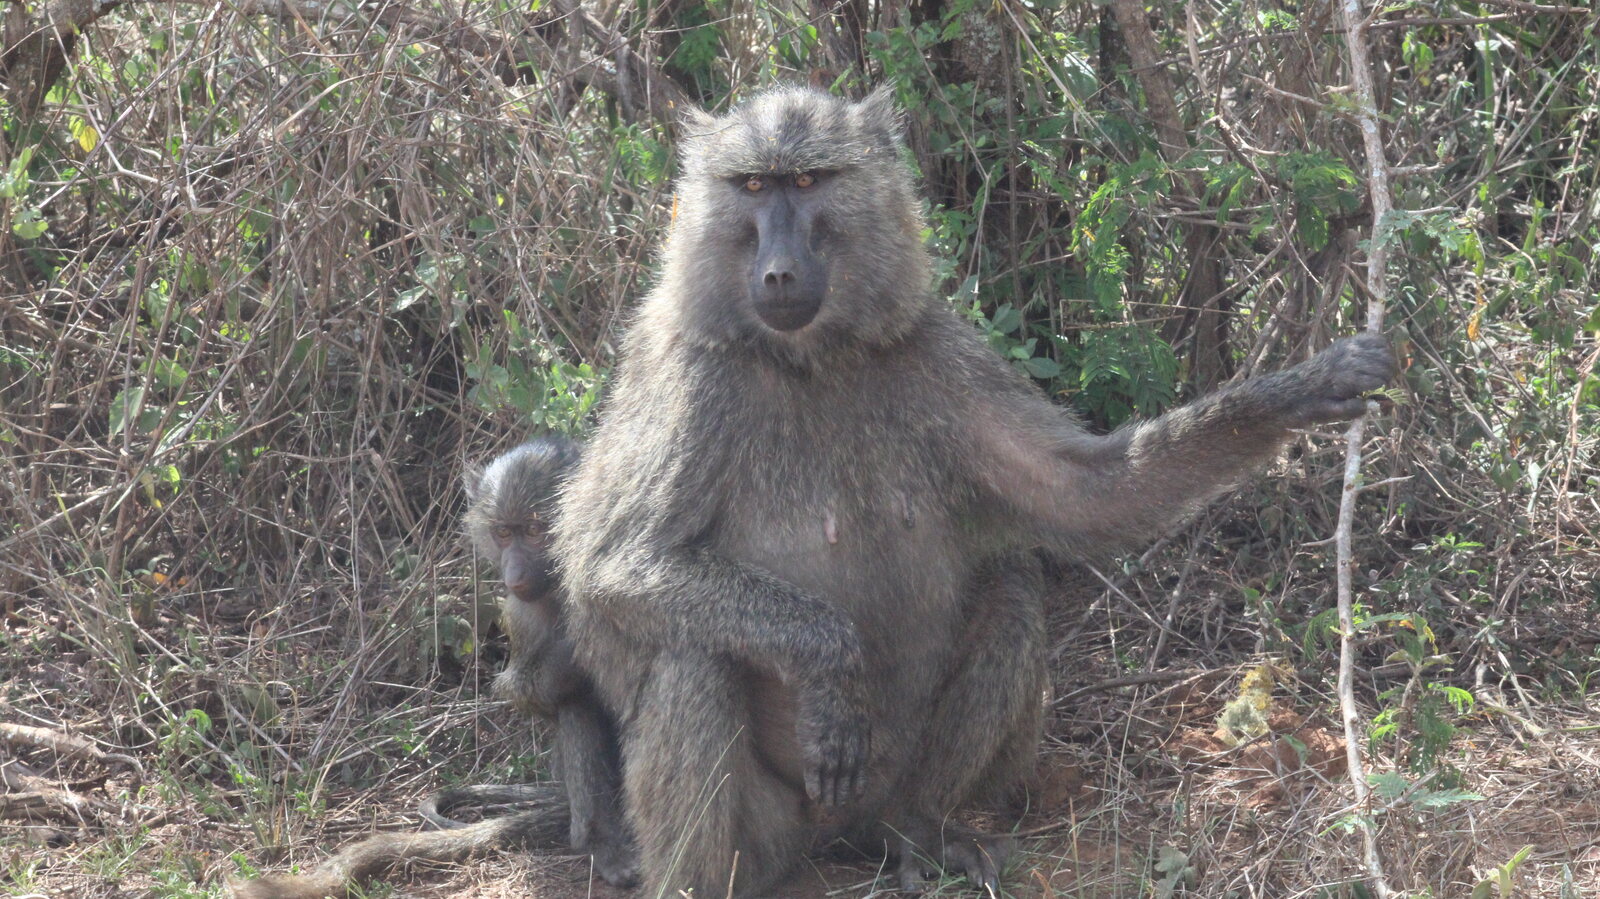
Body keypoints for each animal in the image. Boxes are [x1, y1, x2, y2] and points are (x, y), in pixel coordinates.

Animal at [231, 438, 637, 899]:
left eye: (536, 531)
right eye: (503, 533)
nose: (514, 574)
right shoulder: (520, 612)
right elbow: (527, 694)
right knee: (577, 703)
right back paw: (599, 843)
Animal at [551, 85, 1396, 898]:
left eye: (809, 181)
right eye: (752, 186)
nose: (779, 272)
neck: (812, 358)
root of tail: (835, 837)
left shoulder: (938, 350)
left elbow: (1089, 491)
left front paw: (1304, 388)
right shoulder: (692, 380)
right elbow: (618, 565)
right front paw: (831, 666)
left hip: (887, 784)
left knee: (1011, 589)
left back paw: (918, 832)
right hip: (774, 827)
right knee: (695, 658)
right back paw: (706, 879)